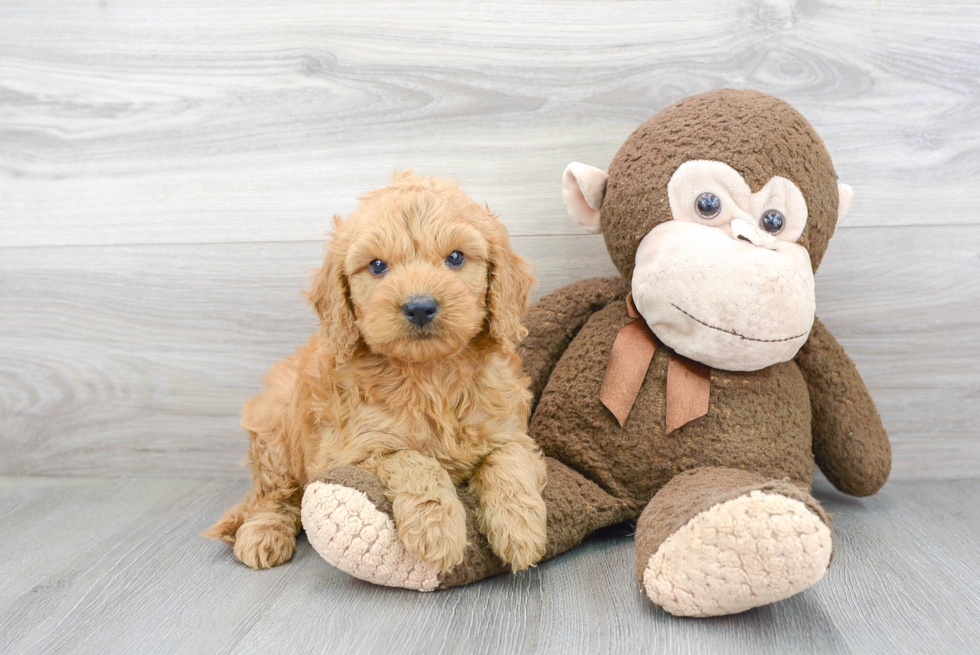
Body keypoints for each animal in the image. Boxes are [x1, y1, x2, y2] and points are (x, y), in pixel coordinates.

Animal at [207, 173, 548, 576]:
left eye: (455, 257)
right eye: (377, 266)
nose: (420, 306)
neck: (430, 374)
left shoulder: (509, 431)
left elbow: (508, 461)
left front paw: (520, 527)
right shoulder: (351, 451)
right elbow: (413, 459)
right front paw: (436, 528)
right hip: (274, 431)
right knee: (273, 494)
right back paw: (264, 533)